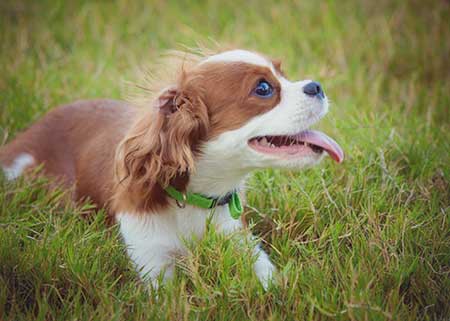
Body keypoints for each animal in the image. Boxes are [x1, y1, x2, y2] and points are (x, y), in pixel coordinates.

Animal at [0, 48, 344, 288]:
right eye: (263, 89)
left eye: (284, 74)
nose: (317, 86)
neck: (196, 199)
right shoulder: (151, 258)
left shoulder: (241, 240)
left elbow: (269, 279)